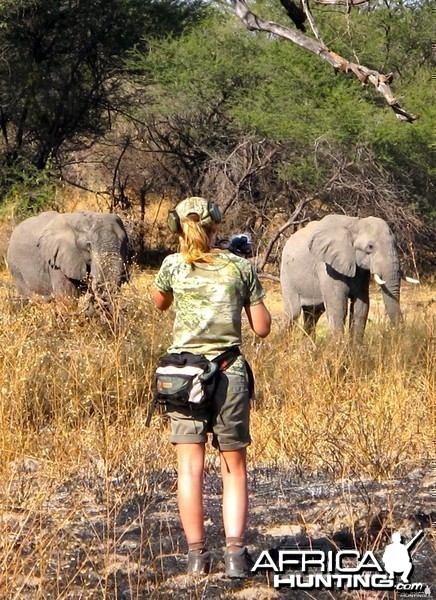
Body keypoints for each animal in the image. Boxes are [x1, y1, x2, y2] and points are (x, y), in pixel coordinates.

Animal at [280, 214, 418, 338]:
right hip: (287, 276)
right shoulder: (327, 267)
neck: (356, 224)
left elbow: (361, 306)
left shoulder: (360, 270)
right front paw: (338, 347)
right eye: (370, 247)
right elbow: (338, 307)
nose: (398, 334)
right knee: (292, 313)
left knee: (313, 314)